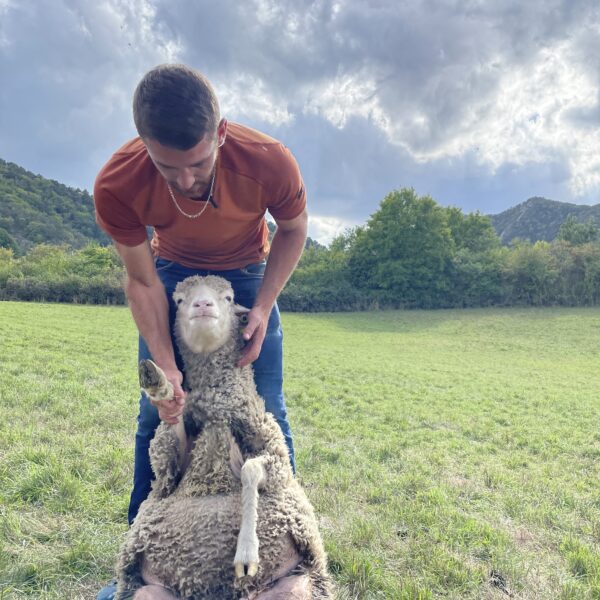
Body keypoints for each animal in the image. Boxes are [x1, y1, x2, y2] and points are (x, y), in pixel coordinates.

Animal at [115, 274, 332, 596]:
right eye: (179, 300)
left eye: (228, 297)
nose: (203, 305)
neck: (218, 413)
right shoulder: (172, 464)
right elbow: (174, 422)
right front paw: (159, 384)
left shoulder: (277, 458)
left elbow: (250, 469)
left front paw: (247, 552)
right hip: (145, 590)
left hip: (299, 584)